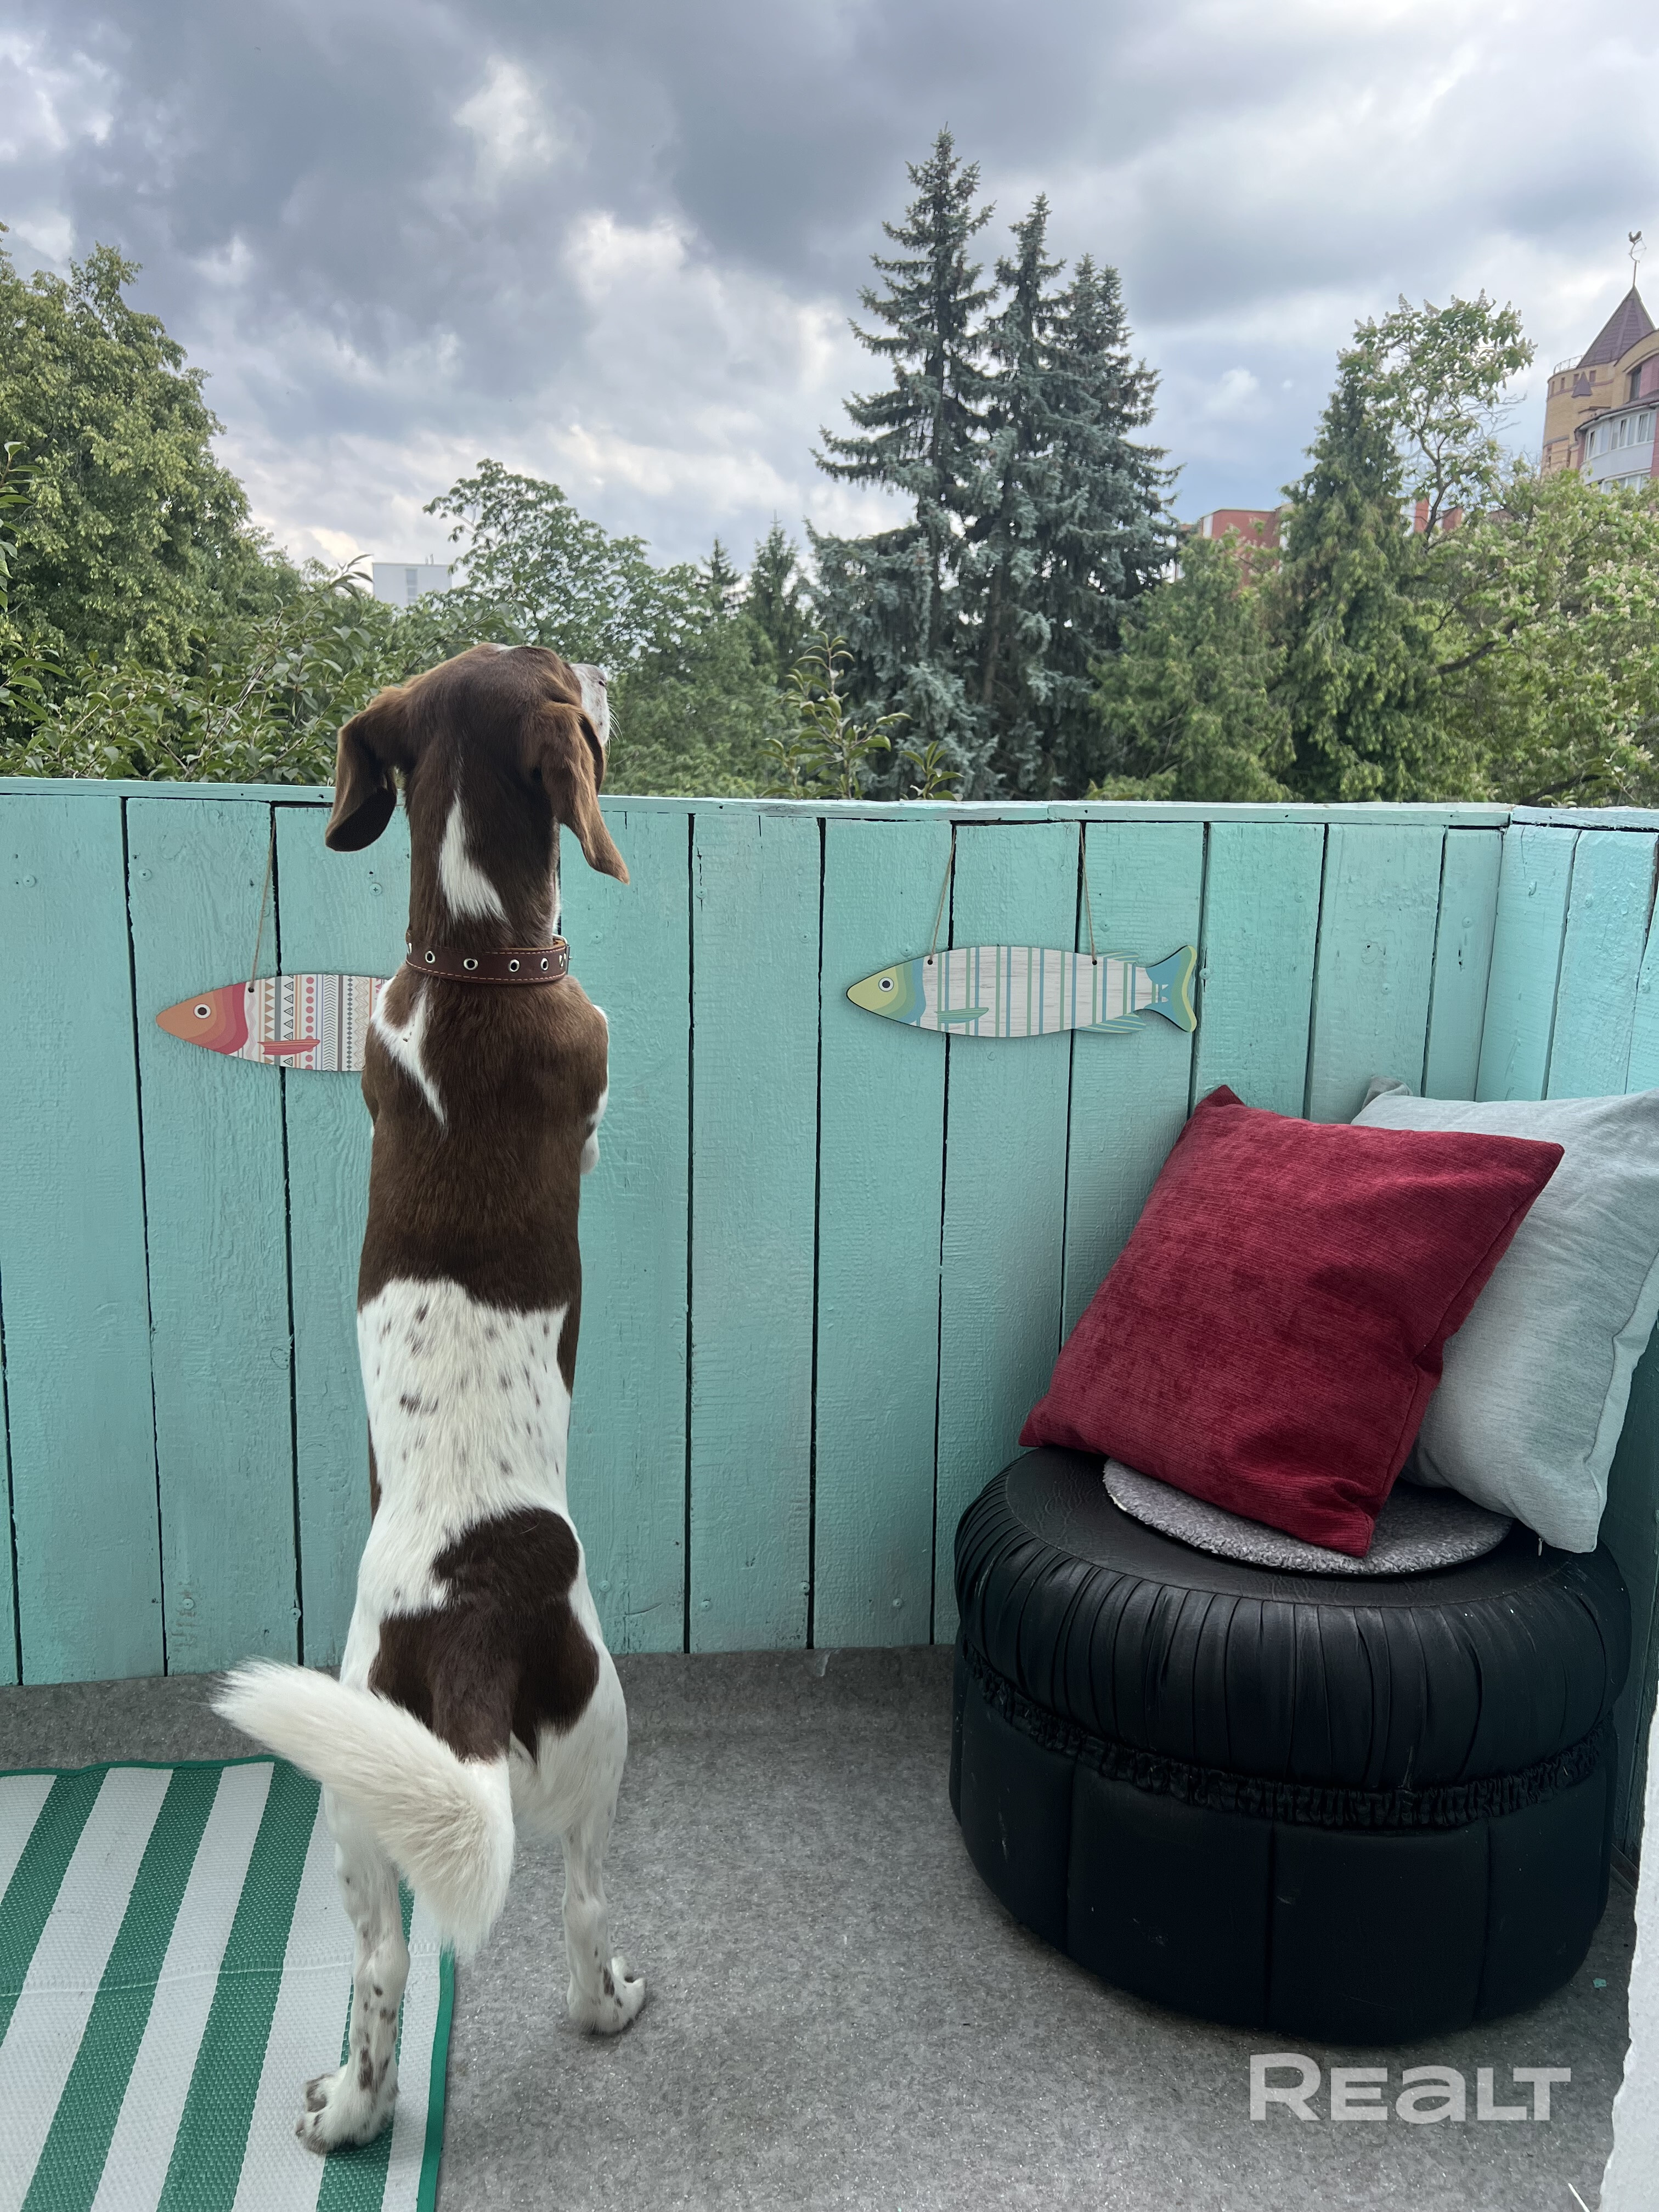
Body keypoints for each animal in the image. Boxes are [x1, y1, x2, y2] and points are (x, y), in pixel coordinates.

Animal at [215, 642, 645, 2152]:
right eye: (566, 670)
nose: (608, 667)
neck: (474, 955)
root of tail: (467, 1617)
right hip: (600, 1743)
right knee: (578, 1922)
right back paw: (611, 2003)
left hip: (356, 1806)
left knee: (386, 1967)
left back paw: (348, 2111)